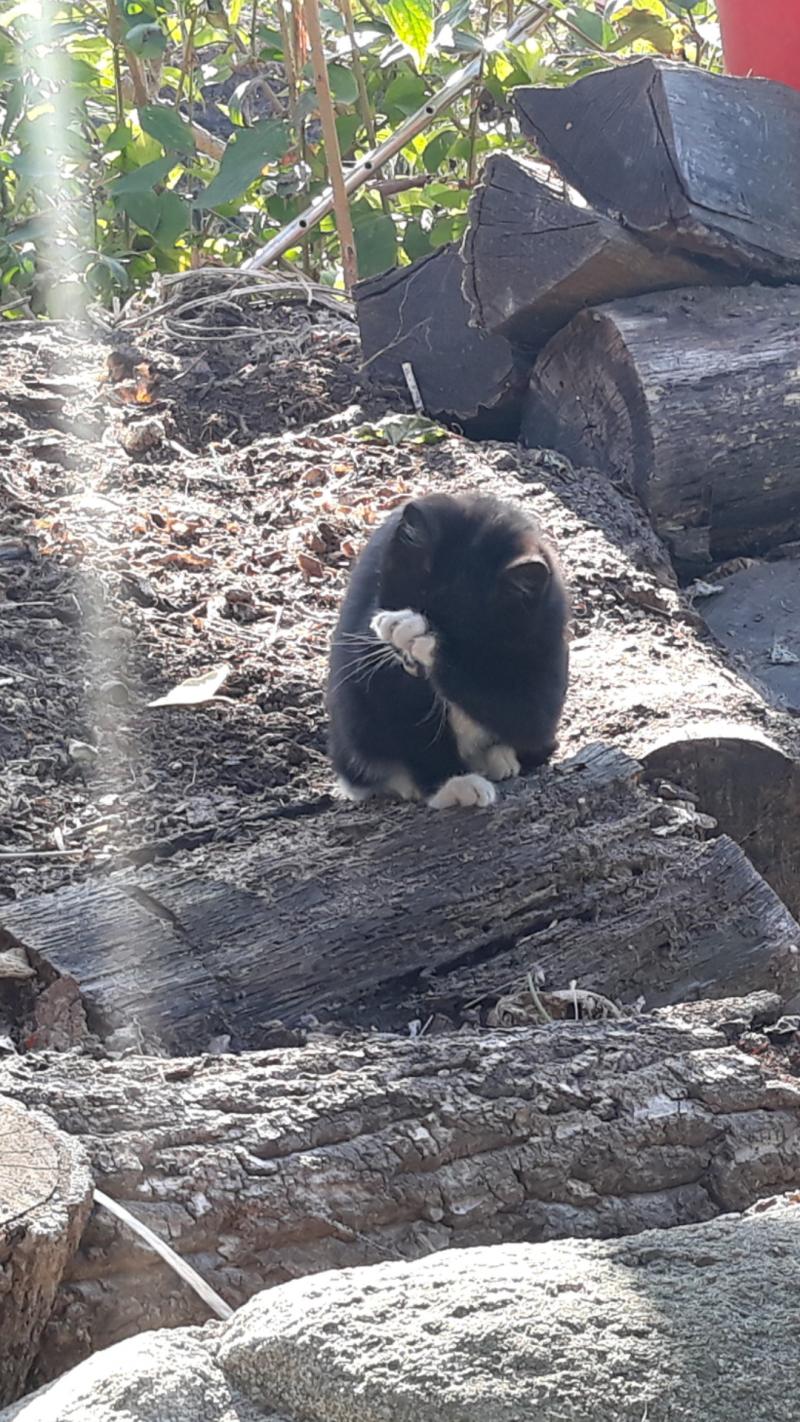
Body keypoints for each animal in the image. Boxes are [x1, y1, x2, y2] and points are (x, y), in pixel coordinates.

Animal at [325, 492, 568, 807]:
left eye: (466, 636)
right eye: (411, 598)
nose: (410, 663)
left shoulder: (545, 643)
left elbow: (527, 713)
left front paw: (419, 636)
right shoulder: (373, 664)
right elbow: (409, 725)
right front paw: (452, 784)